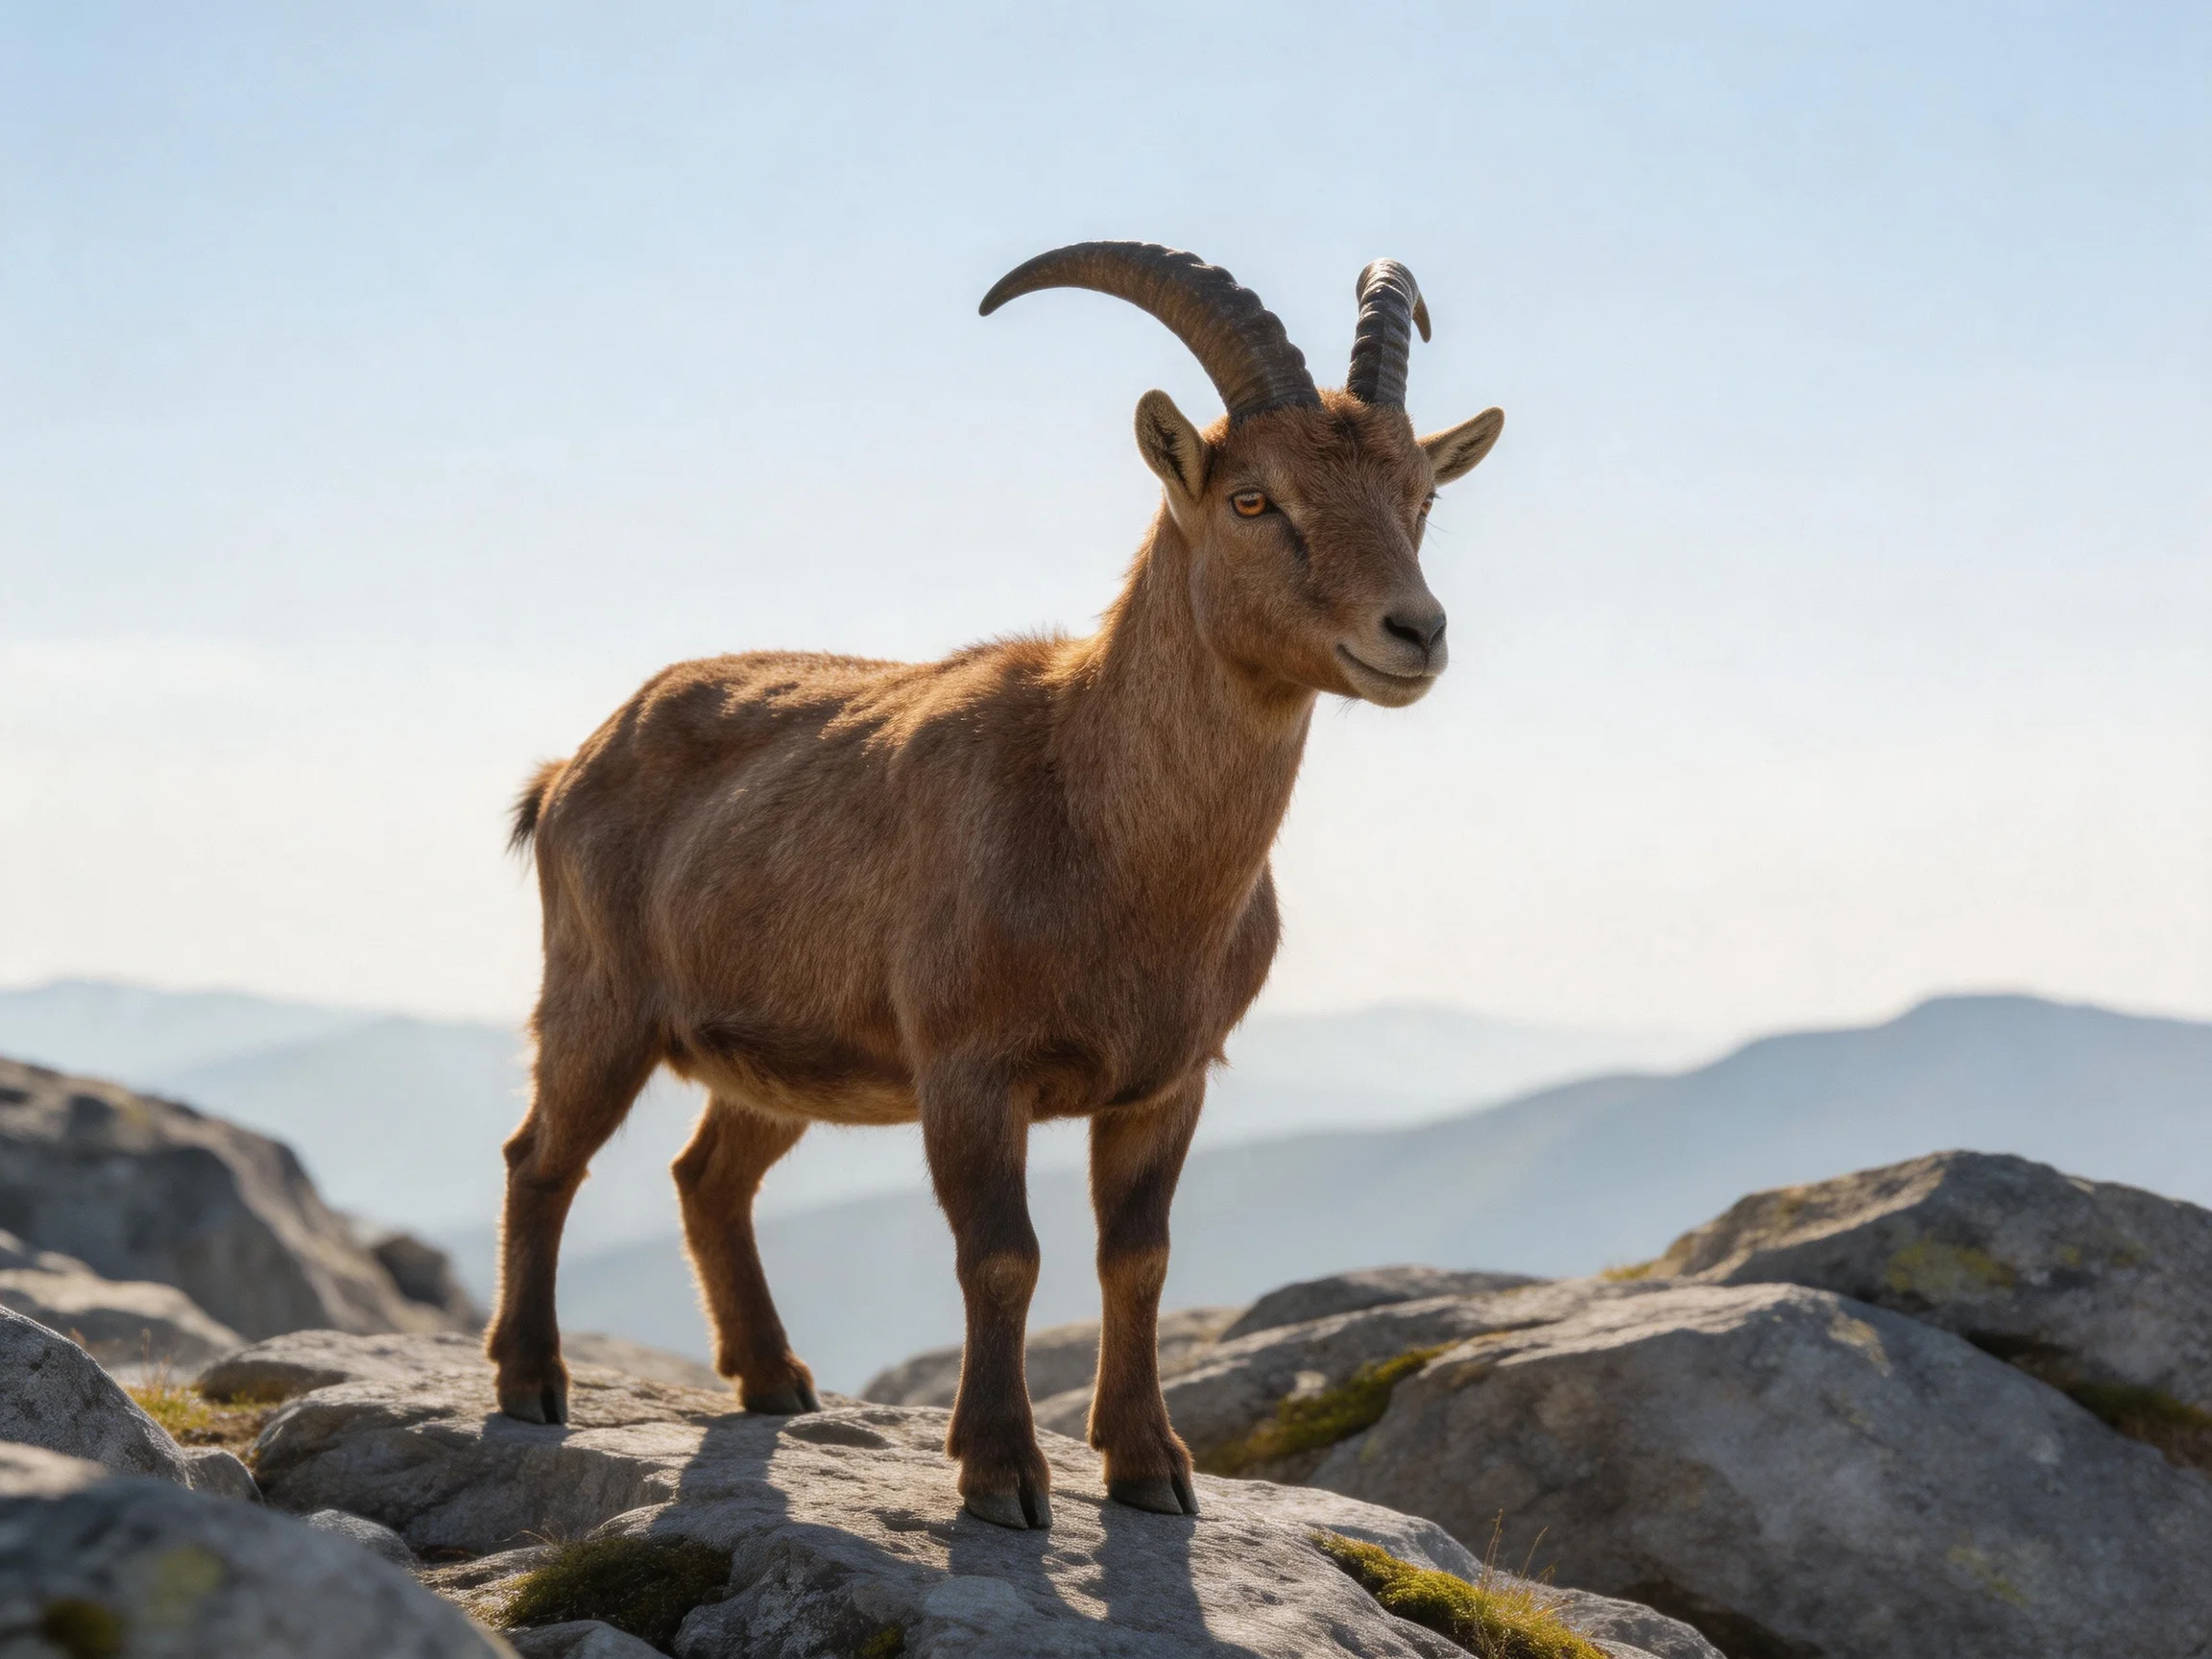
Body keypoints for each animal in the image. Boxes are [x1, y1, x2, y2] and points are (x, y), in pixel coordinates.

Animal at [487, 242, 1505, 1529]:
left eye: (1421, 498)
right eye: (1253, 499)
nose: (1414, 631)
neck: (1104, 831)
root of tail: (570, 766)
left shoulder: (1168, 1080)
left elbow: (1139, 1256)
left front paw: (1152, 1468)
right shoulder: (970, 1066)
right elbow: (1002, 1254)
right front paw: (1004, 1473)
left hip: (777, 1057)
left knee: (707, 1177)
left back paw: (773, 1379)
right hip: (600, 999)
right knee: (543, 1157)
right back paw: (531, 1381)